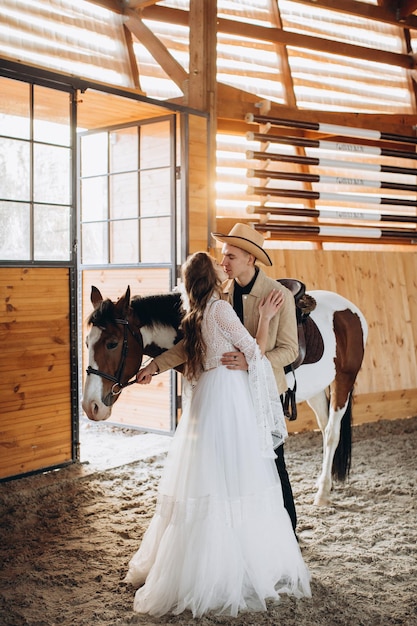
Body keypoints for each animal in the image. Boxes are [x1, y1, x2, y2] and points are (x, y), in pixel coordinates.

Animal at [82, 282, 368, 502]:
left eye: (112, 343)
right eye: (87, 342)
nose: (90, 406)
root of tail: (350, 310)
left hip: (344, 380)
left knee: (332, 433)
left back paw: (322, 494)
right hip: (316, 390)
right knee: (324, 428)